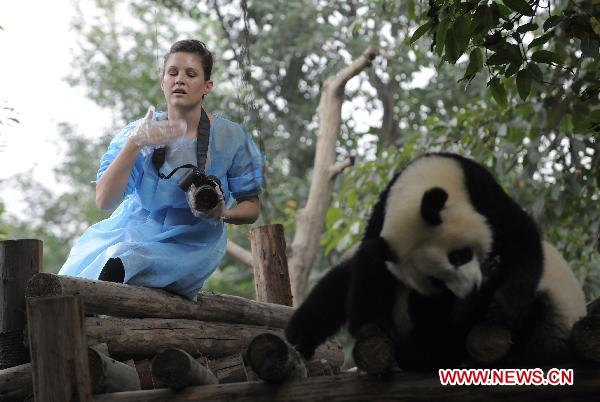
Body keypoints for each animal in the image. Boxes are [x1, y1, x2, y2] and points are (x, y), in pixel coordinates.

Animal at [286, 153, 584, 370]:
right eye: (436, 280)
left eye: (459, 255)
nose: (470, 290)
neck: (421, 184)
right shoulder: (381, 219)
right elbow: (370, 267)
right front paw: (371, 326)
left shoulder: (483, 193)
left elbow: (520, 235)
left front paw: (502, 301)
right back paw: (299, 337)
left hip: (548, 319)